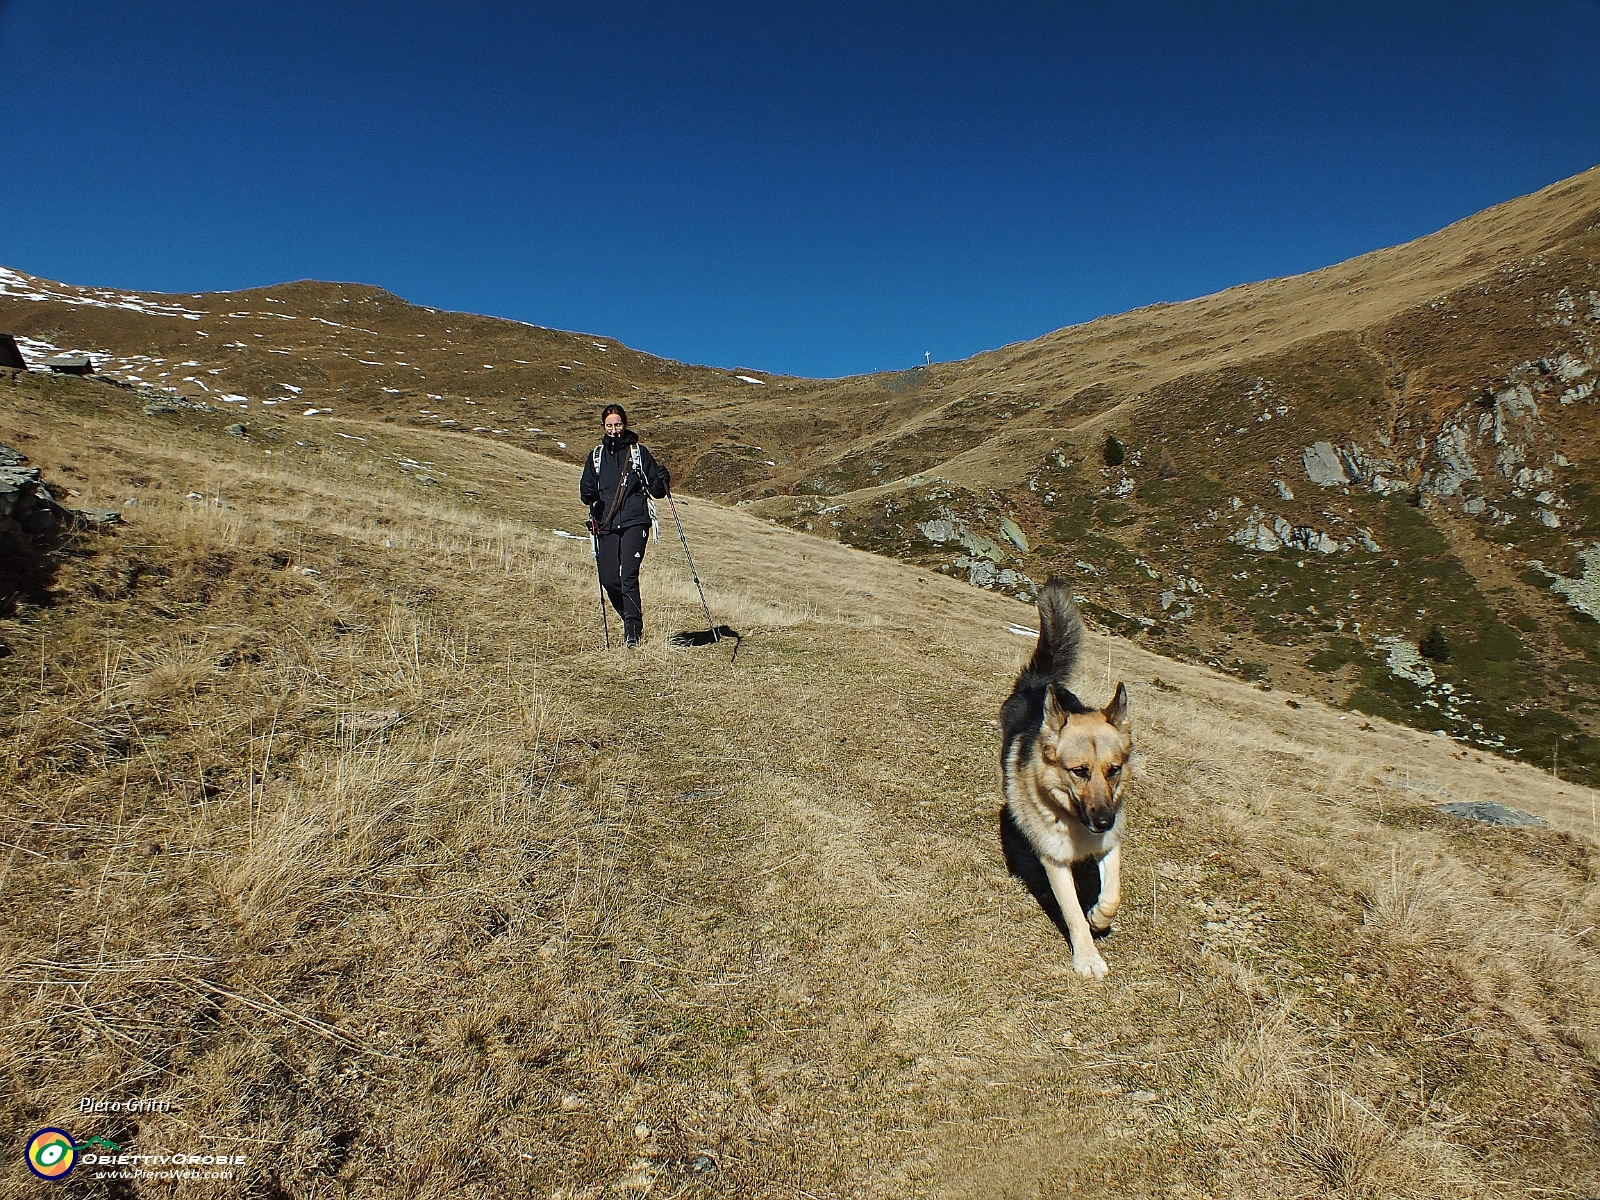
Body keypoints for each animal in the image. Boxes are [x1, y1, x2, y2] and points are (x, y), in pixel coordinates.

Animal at [1004, 579, 1132, 979]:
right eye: (1079, 771)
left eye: (1113, 770)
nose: (1104, 820)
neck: (1075, 821)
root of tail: (1042, 681)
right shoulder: (1056, 861)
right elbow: (1072, 913)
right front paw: (1088, 957)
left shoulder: (1109, 845)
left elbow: (1113, 894)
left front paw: (1100, 918)